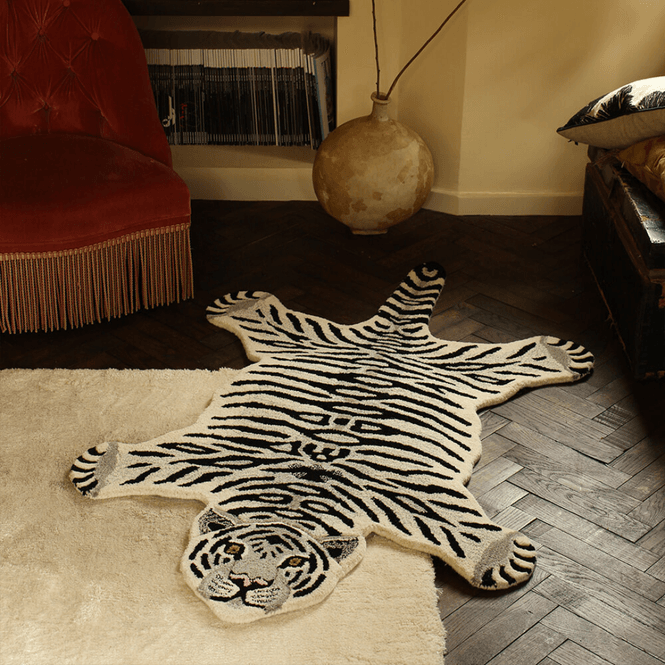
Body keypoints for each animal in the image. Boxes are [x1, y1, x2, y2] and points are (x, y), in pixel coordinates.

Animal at [70, 262, 594, 624]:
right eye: (234, 550)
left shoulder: (407, 494)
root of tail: (390, 338)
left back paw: (560, 354)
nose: (246, 583)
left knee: (508, 359)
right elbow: (154, 456)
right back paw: (240, 306)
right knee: (274, 319)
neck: (295, 496)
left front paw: (500, 555)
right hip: (299, 342)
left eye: (294, 562)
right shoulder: (219, 453)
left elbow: (458, 524)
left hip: (466, 371)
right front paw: (101, 467)